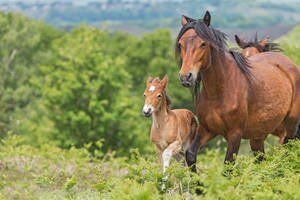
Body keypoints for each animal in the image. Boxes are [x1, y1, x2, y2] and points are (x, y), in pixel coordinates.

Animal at [175, 11, 300, 173]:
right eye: (181, 44)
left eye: (203, 43)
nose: (186, 76)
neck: (219, 91)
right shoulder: (207, 129)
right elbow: (190, 155)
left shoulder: (235, 134)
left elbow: (228, 168)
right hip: (258, 136)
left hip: (290, 125)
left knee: (287, 150)